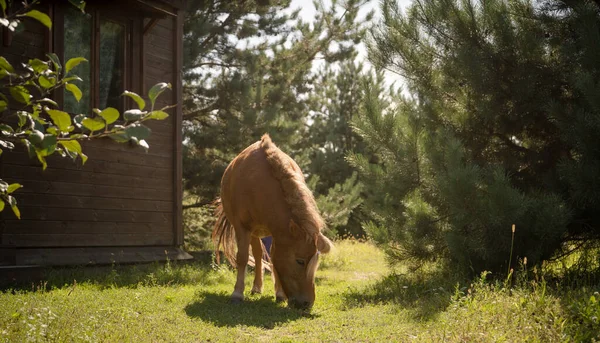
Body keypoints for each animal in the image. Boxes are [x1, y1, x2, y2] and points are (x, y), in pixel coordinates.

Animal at [212, 134, 332, 310]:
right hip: (253, 232)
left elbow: (274, 258)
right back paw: (256, 287)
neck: (259, 185)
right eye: (300, 261)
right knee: (256, 253)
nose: (307, 303)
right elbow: (242, 257)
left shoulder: (278, 232)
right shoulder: (242, 228)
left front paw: (280, 294)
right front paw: (237, 293)